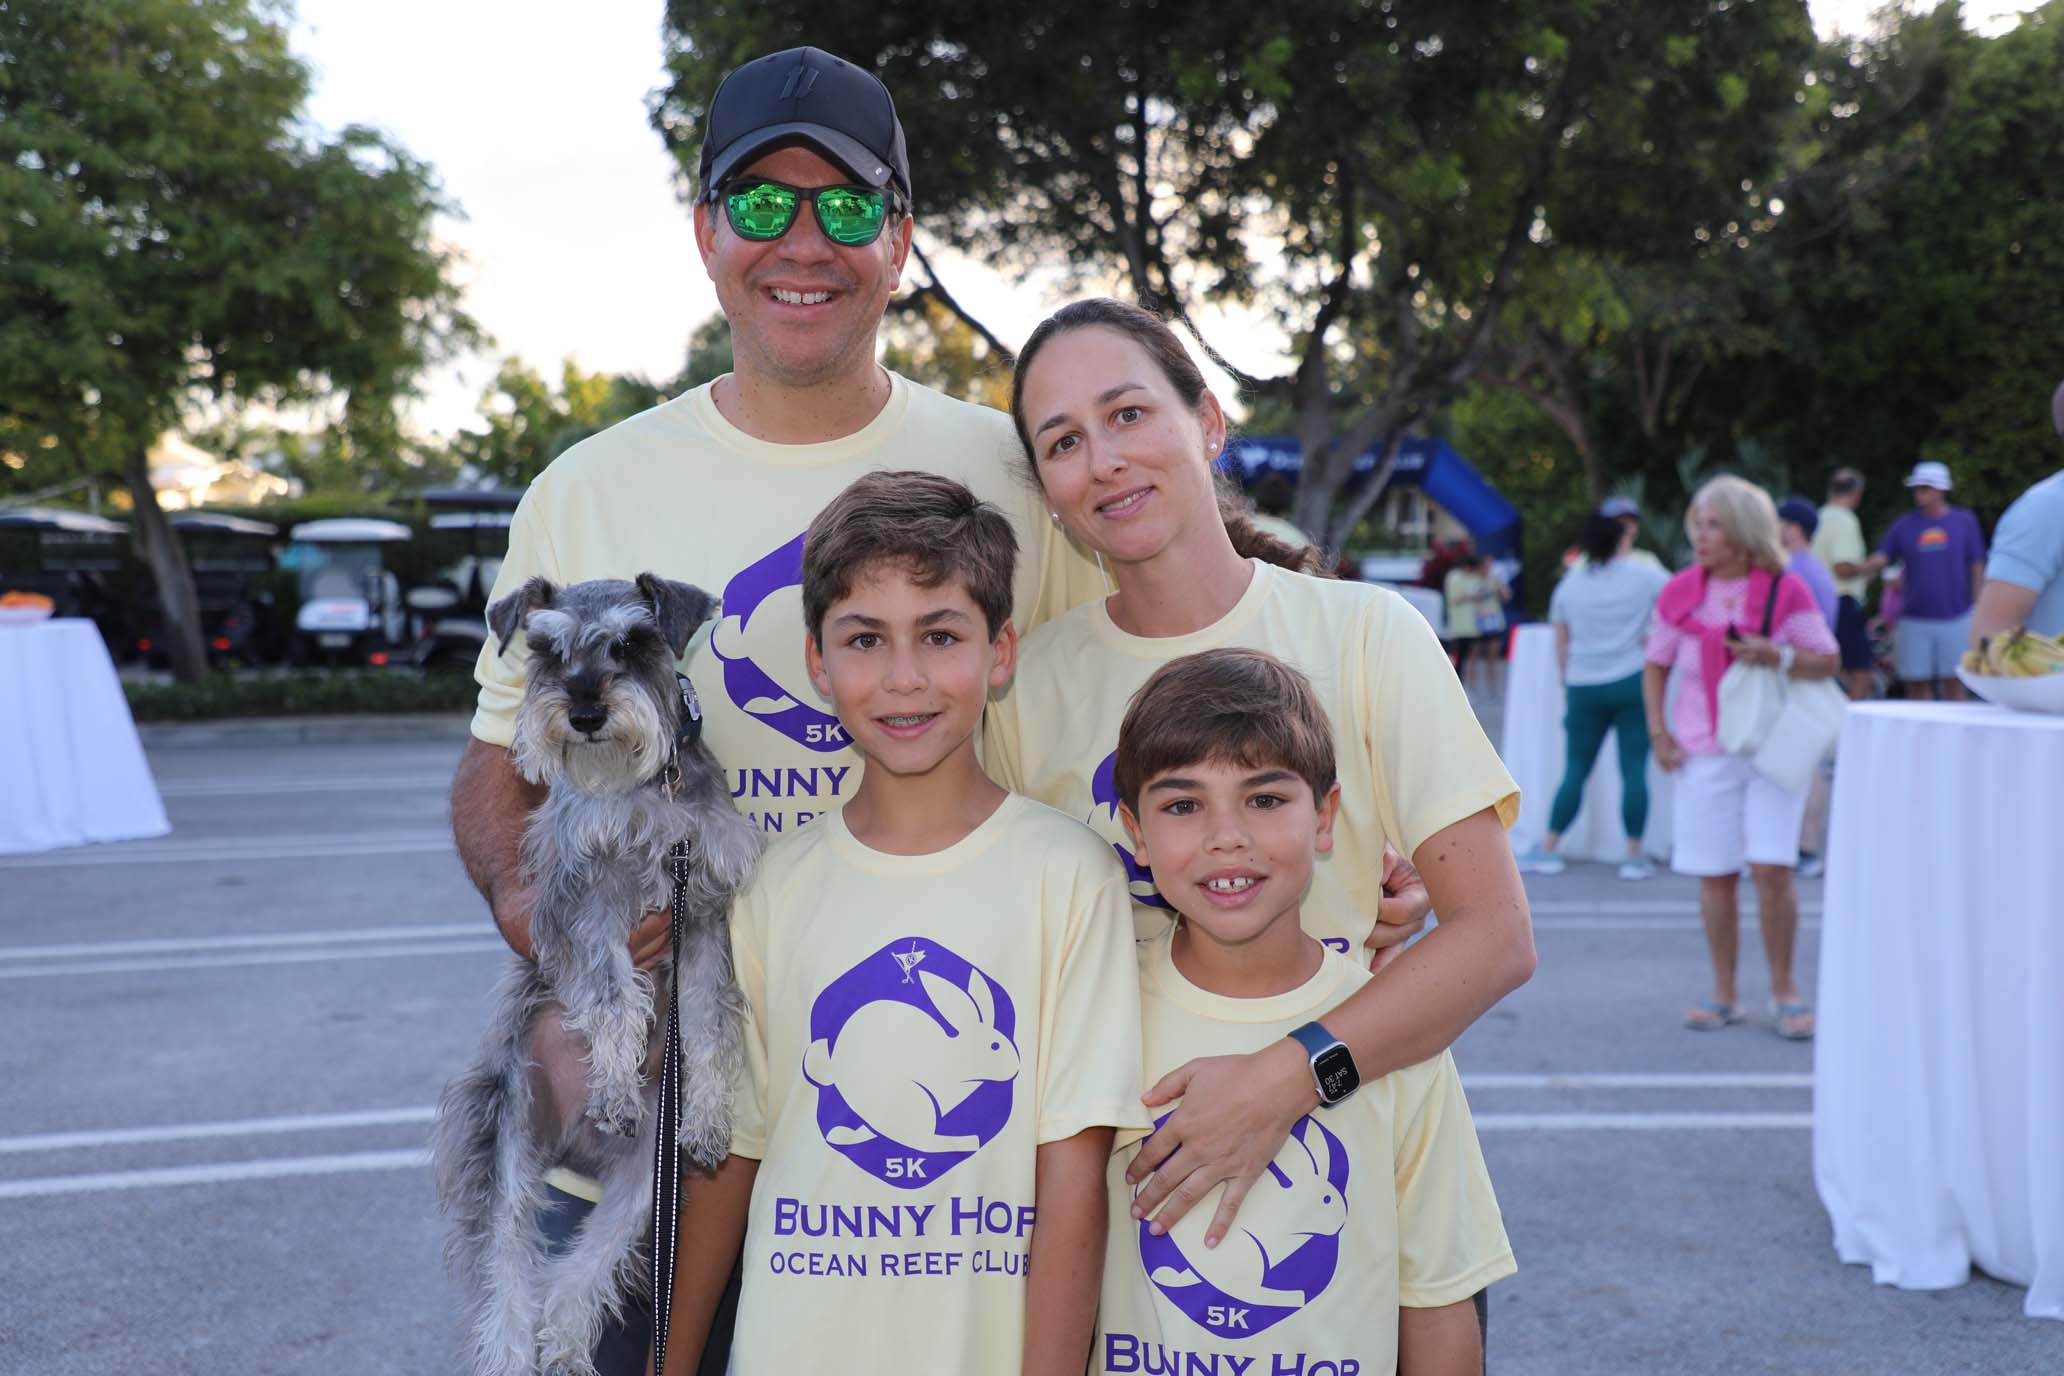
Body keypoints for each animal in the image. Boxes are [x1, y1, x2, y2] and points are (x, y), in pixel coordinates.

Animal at [803, 967, 1020, 1154]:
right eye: (995, 1046)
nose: (1016, 1066)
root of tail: (835, 1069)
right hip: (915, 1100)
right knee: (924, 1142)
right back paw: (968, 1140)